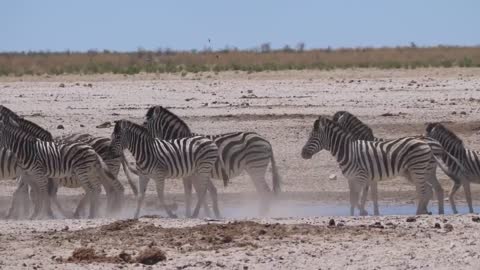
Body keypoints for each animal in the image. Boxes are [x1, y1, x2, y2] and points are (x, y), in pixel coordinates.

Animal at [141, 105, 282, 215]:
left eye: (144, 124)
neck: (180, 143)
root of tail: (266, 141)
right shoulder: (195, 174)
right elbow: (201, 193)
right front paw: (208, 213)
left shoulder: (192, 173)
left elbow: (194, 193)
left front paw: (197, 213)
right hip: (254, 169)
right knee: (262, 192)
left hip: (256, 168)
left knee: (265, 191)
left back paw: (262, 214)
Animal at [302, 116, 452, 215]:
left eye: (313, 137)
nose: (302, 153)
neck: (349, 151)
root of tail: (428, 143)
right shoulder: (352, 179)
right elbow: (353, 199)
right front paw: (353, 215)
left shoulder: (362, 177)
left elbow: (359, 198)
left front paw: (362, 213)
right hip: (421, 171)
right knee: (432, 189)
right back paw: (432, 212)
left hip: (418, 170)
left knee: (424, 190)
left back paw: (420, 213)